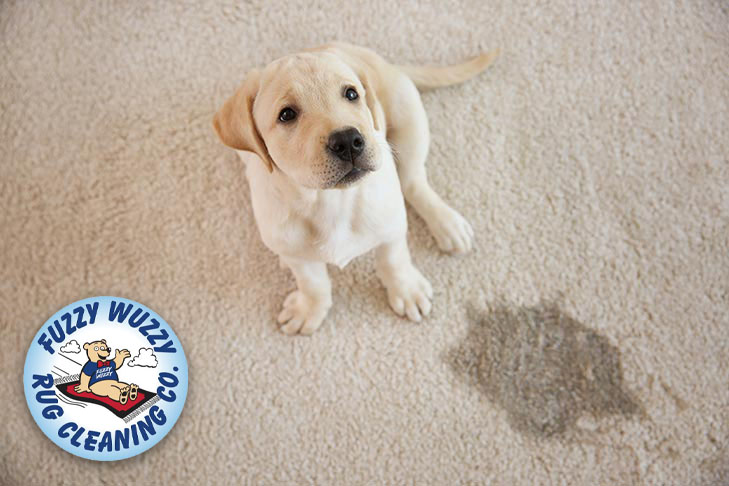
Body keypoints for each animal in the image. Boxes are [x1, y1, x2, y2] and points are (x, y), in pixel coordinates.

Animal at [213, 41, 498, 334]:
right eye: (287, 114)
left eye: (351, 94)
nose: (348, 140)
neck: (329, 201)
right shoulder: (295, 252)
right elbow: (312, 283)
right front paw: (310, 308)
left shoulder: (392, 227)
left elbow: (394, 260)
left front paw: (406, 290)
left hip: (408, 116)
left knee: (413, 182)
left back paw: (447, 224)